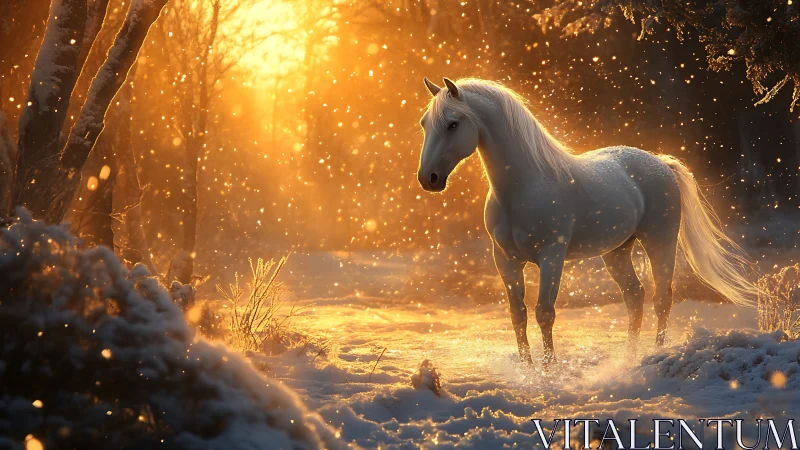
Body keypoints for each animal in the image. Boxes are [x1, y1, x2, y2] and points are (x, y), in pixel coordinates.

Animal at [416, 77, 757, 364]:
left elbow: (544, 313)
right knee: (634, 297)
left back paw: (655, 355)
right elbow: (517, 314)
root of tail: (661, 163)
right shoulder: (505, 260)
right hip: (617, 252)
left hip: (660, 242)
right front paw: (527, 369)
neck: (524, 186)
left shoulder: (552, 256)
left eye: (453, 124)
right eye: (424, 124)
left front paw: (549, 370)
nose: (428, 178)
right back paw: (629, 357)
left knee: (662, 298)